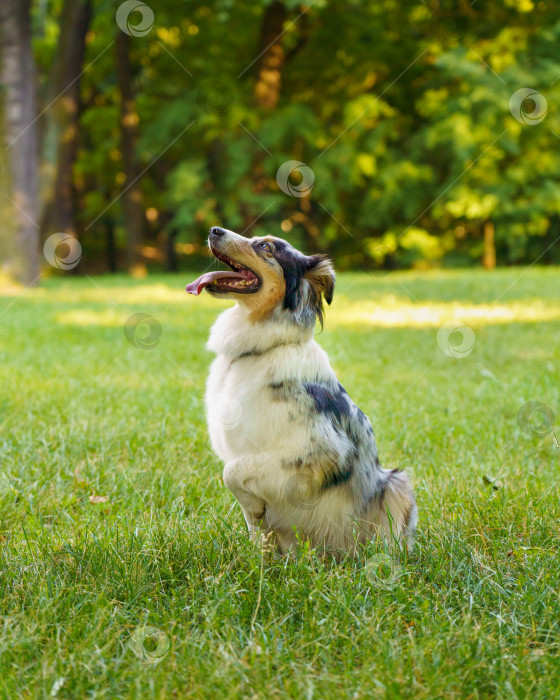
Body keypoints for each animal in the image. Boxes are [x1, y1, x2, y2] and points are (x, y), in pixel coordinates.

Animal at [186, 227, 418, 556]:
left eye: (266, 247)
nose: (214, 230)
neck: (262, 349)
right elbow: (253, 520)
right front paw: (259, 549)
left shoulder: (321, 450)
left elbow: (232, 471)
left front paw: (255, 507)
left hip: (396, 484)